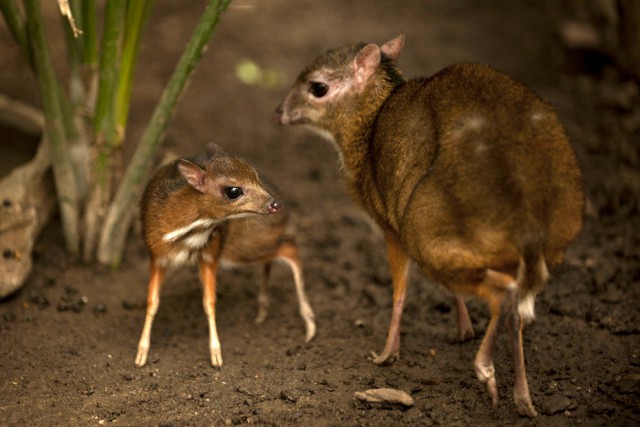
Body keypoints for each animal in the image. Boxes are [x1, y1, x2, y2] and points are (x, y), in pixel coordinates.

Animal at [136, 143, 316, 368]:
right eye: (233, 191)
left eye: (256, 176)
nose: (275, 204)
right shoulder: (157, 256)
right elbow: (152, 302)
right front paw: (141, 353)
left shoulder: (210, 255)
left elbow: (209, 302)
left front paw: (216, 354)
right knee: (281, 252)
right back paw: (263, 311)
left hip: (243, 246)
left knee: (291, 248)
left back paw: (309, 324)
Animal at [272, 34, 584, 418]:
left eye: (318, 87)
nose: (278, 112)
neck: (370, 122)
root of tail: (526, 211)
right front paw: (463, 329)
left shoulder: (390, 227)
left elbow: (400, 291)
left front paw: (386, 354)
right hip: (541, 241)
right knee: (516, 308)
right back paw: (523, 399)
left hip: (423, 232)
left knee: (503, 294)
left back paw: (485, 369)